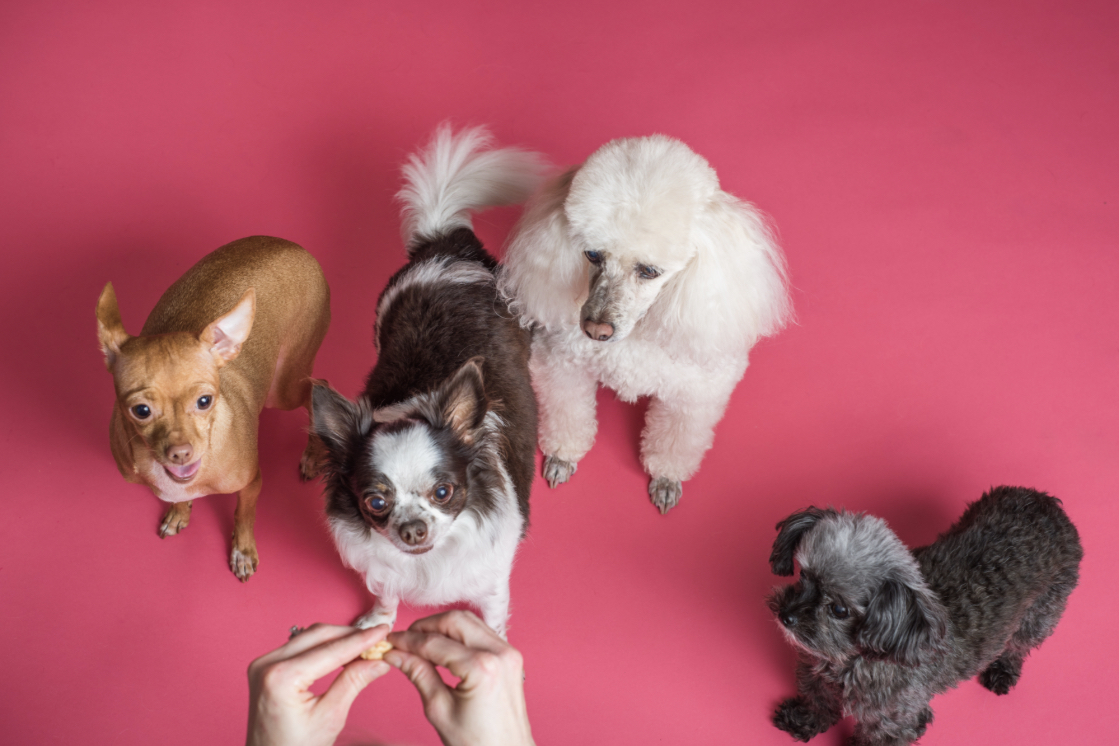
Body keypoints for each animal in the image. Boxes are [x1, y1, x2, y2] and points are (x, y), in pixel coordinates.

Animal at [769, 487, 1074, 742]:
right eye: (803, 576)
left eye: (839, 609)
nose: (786, 616)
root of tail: (1045, 503)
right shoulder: (815, 675)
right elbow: (818, 700)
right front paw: (804, 719)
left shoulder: (894, 721)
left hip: (1041, 613)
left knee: (1018, 646)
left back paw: (1003, 669)